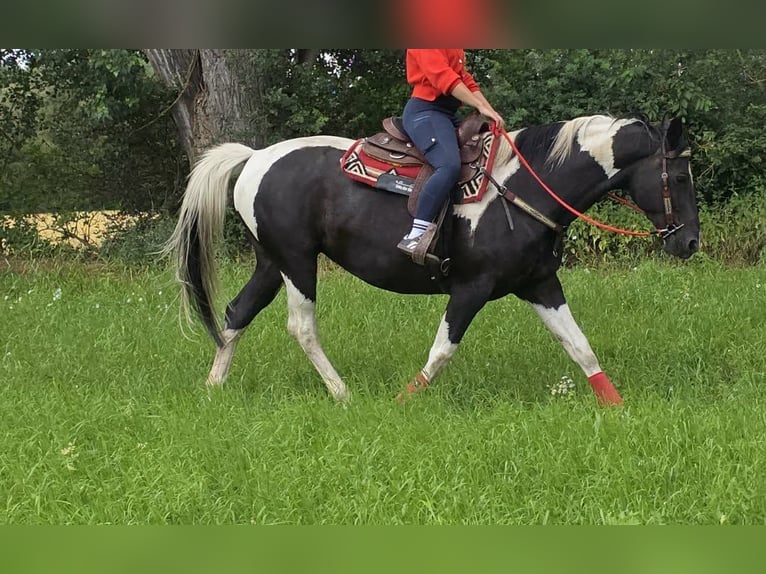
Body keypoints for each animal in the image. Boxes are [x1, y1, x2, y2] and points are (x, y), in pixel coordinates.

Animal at [165, 113, 700, 405]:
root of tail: (253, 157)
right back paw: (342, 394)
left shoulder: (540, 285)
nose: (690, 242)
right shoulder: (471, 289)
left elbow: (581, 348)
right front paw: (402, 401)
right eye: (680, 177)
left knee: (237, 313)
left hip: (271, 263)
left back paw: (214, 388)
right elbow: (442, 351)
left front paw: (618, 407)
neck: (524, 191)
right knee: (301, 326)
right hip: (298, 262)